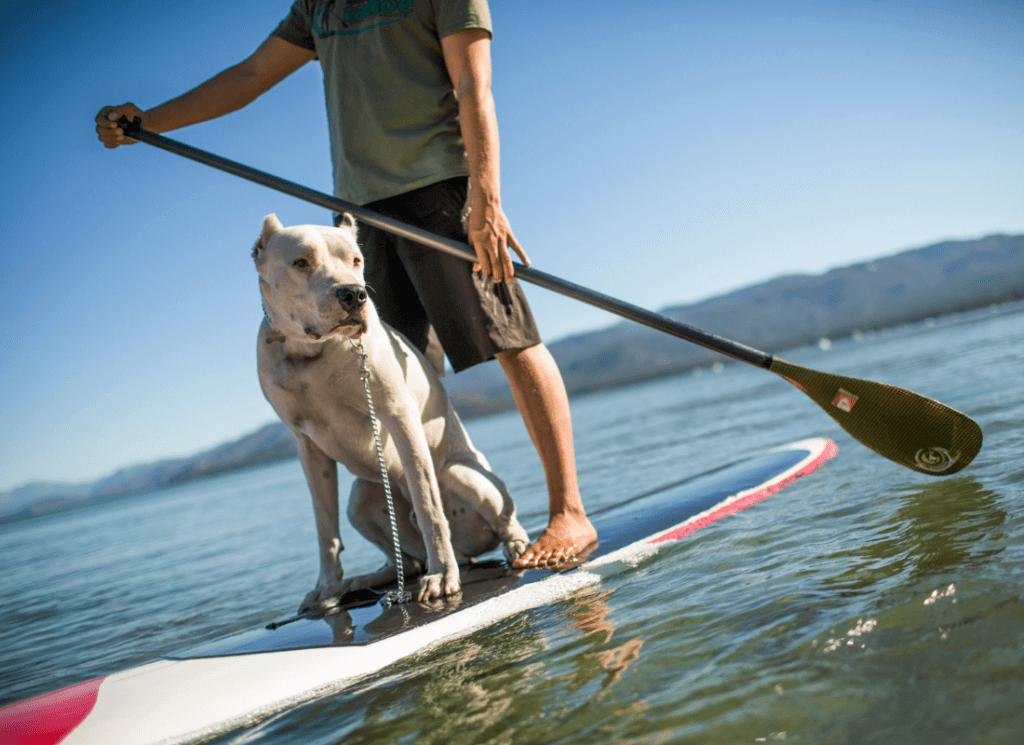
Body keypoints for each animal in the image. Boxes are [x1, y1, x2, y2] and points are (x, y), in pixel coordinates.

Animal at [253, 212, 528, 609]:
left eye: (356, 260)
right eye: (301, 262)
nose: (355, 293)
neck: (309, 353)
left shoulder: (398, 416)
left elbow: (429, 506)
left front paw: (441, 575)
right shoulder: (307, 446)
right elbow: (325, 529)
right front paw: (327, 589)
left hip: (461, 475)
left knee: (498, 517)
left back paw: (512, 546)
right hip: (361, 500)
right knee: (405, 558)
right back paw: (372, 578)